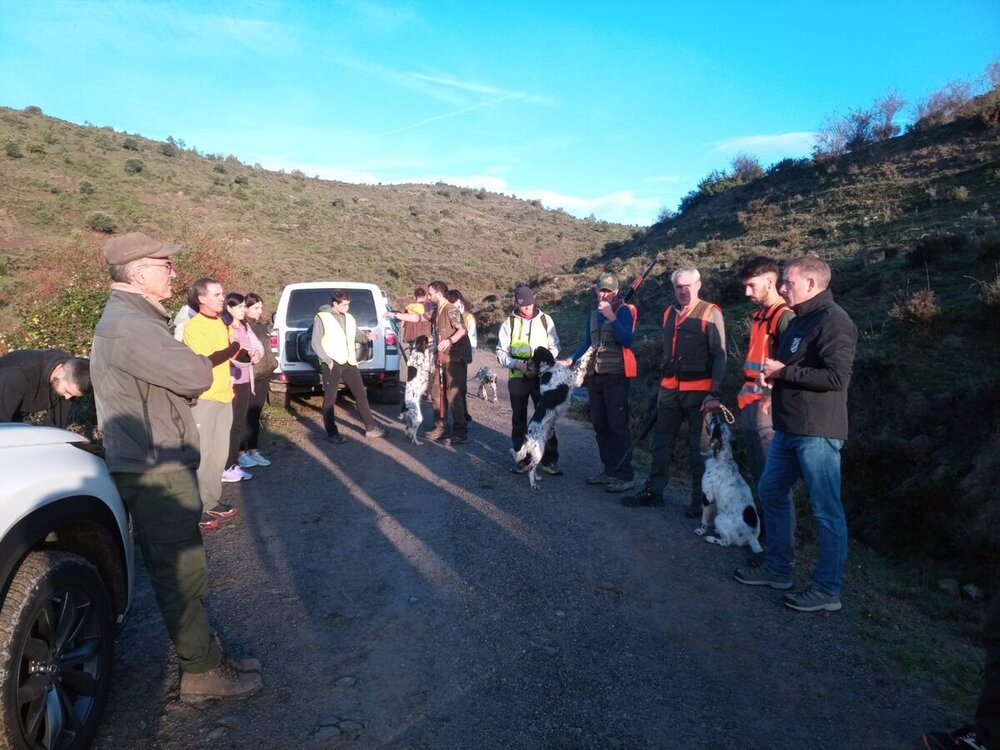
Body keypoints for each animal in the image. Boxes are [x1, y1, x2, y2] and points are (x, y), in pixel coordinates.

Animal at [512, 348, 588, 490]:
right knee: (531, 469)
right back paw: (533, 483)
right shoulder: (574, 377)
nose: (527, 362)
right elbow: (581, 362)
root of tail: (527, 437)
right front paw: (592, 349)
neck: (548, 369)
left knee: (533, 466)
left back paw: (537, 477)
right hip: (539, 450)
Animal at [700, 414, 760, 556]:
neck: (722, 458)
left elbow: (704, 520)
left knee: (726, 542)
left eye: (717, 425)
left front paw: (701, 531)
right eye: (720, 422)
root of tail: (753, 537)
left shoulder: (707, 497)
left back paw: (711, 538)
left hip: (719, 518)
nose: (716, 415)